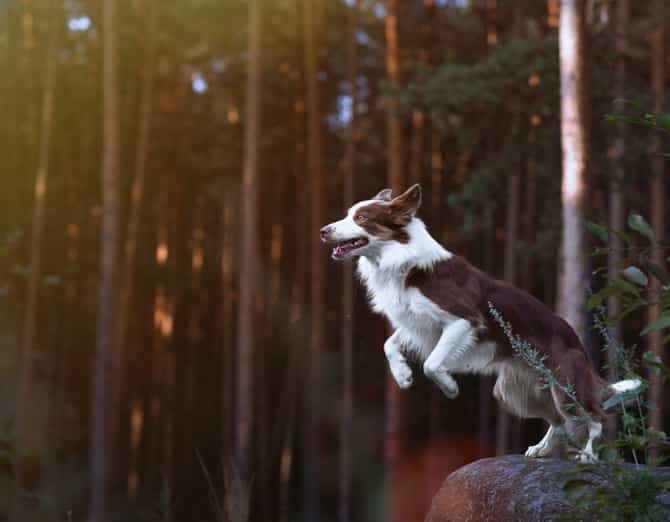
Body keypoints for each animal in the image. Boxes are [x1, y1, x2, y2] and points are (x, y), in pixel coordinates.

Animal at [322, 184, 644, 460]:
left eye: (361, 217)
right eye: (348, 214)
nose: (324, 231)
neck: (403, 259)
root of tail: (578, 343)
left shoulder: (462, 321)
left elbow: (431, 363)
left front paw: (449, 387)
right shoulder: (419, 323)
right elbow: (389, 344)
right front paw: (402, 375)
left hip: (565, 385)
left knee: (595, 415)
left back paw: (589, 454)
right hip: (513, 392)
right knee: (558, 419)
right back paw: (540, 449)